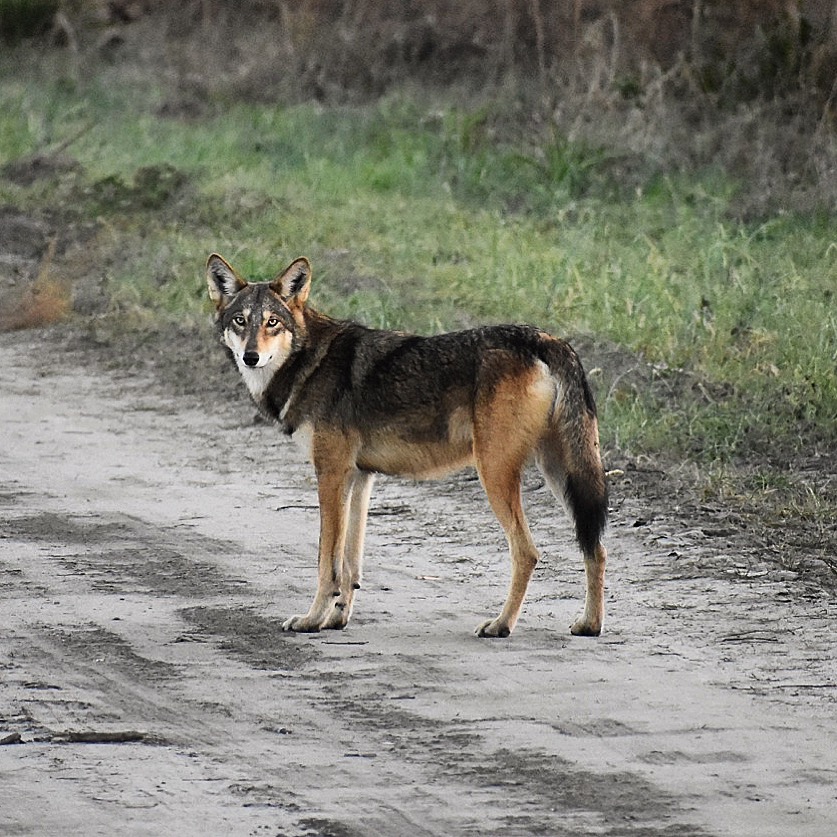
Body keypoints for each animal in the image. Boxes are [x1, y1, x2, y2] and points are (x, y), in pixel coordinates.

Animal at [205, 251, 604, 636]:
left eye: (272, 322)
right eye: (240, 321)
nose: (251, 357)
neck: (309, 362)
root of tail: (548, 340)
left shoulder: (331, 474)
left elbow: (326, 562)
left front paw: (311, 620)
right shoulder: (359, 477)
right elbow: (350, 564)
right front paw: (336, 619)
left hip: (495, 473)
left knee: (528, 552)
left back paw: (501, 625)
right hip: (559, 474)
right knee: (595, 547)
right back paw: (590, 625)